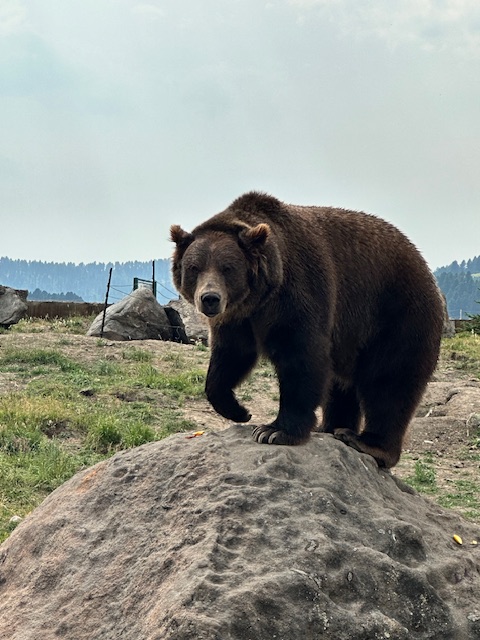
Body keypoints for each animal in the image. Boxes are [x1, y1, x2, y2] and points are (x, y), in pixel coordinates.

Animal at [170, 191, 444, 468]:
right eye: (194, 267)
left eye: (228, 268)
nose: (210, 298)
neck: (261, 297)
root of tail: (425, 268)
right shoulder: (237, 319)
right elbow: (230, 357)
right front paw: (238, 410)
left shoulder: (298, 293)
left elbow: (301, 358)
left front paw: (274, 431)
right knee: (341, 386)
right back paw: (331, 427)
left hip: (397, 314)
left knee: (389, 381)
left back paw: (368, 443)